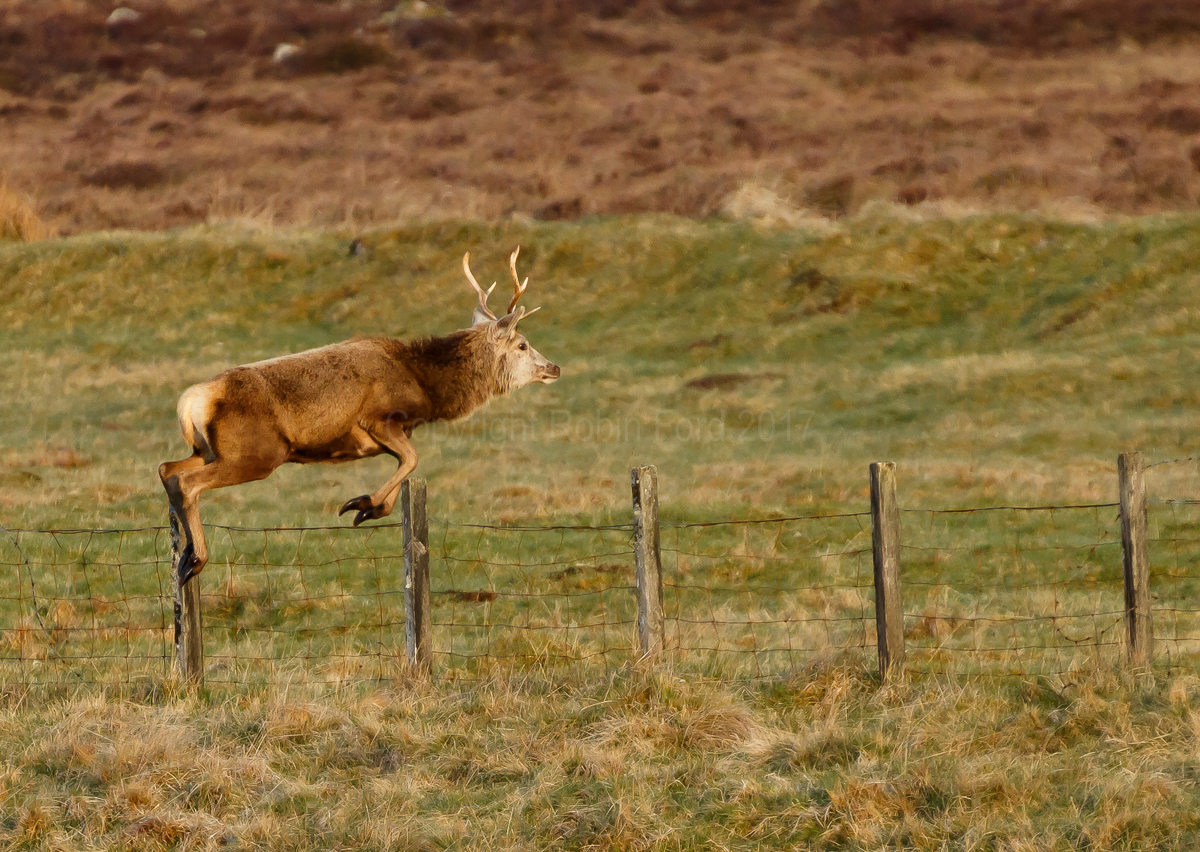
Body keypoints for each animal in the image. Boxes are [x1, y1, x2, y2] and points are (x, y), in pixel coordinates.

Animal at [159, 247, 559, 584]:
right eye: (522, 345)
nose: (554, 367)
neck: (424, 387)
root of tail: (193, 400)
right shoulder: (378, 418)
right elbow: (412, 459)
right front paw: (362, 503)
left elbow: (404, 468)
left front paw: (369, 508)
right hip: (256, 453)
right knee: (187, 482)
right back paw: (197, 559)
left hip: (208, 451)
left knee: (168, 469)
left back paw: (185, 553)